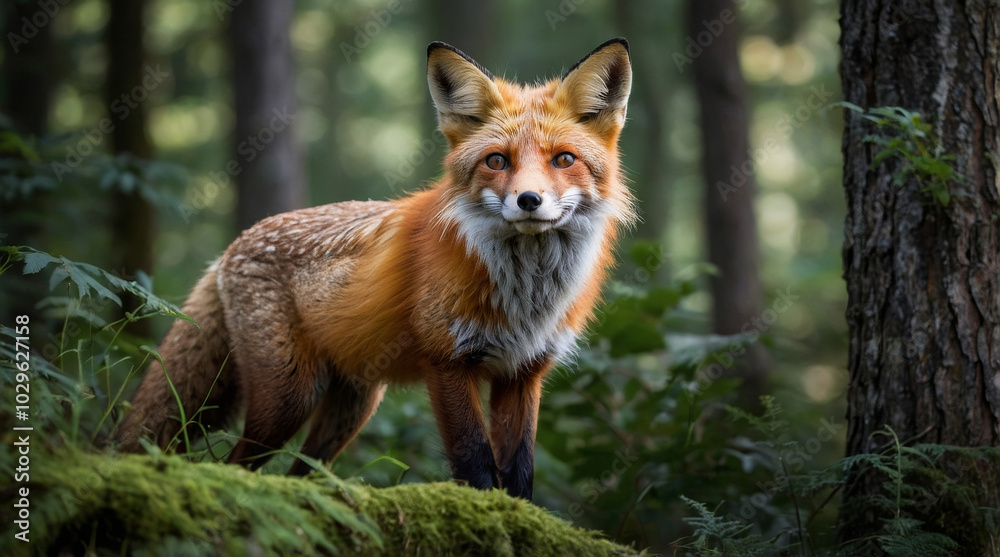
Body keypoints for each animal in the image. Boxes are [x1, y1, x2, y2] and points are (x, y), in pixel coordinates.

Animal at [116, 38, 634, 501]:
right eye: (496, 161)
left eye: (563, 159)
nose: (529, 200)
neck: (526, 293)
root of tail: (232, 246)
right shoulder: (447, 361)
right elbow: (475, 462)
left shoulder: (523, 372)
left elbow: (520, 471)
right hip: (289, 397)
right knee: (236, 467)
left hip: (352, 406)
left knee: (299, 473)